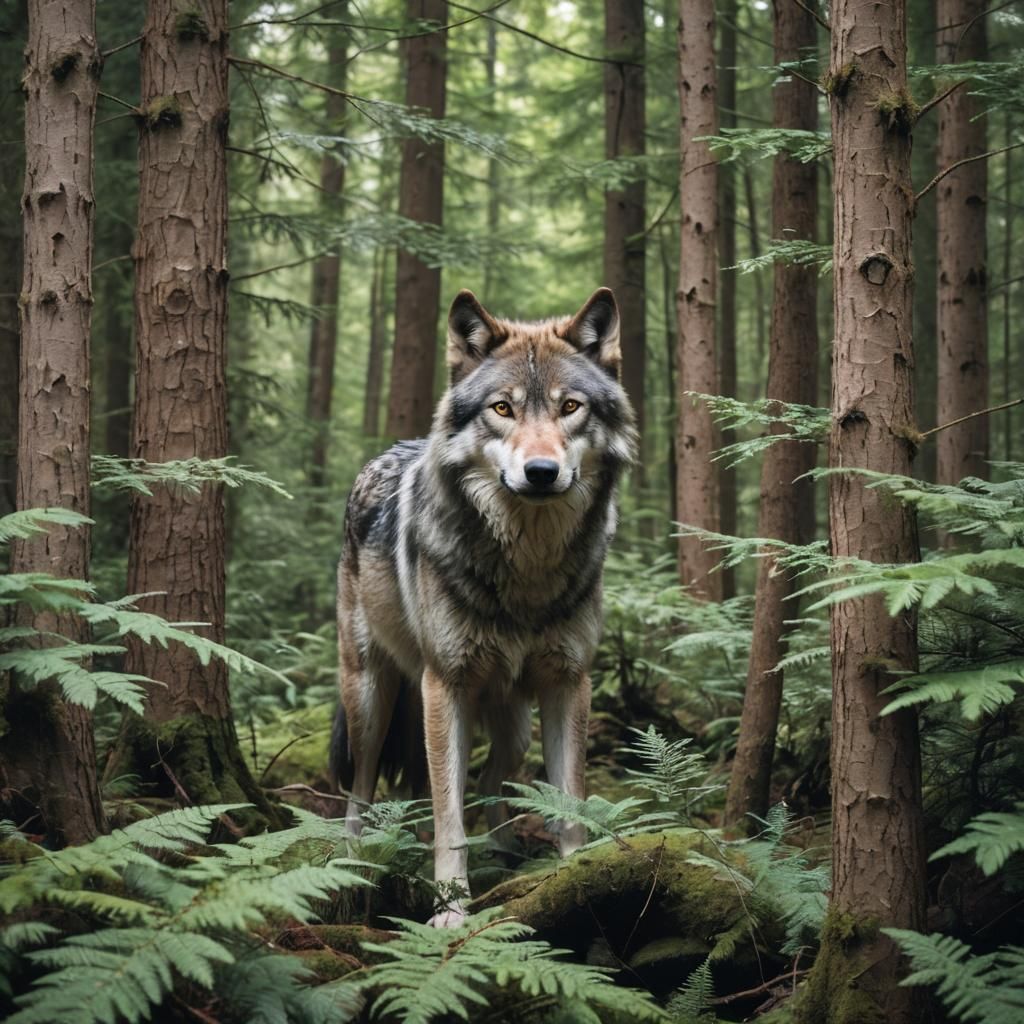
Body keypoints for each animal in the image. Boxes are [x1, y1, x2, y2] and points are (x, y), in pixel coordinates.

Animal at [329, 287, 637, 926]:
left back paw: (505, 847)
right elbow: (450, 817)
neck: (527, 571)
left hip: (511, 718)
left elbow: (567, 801)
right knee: (363, 784)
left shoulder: (569, 683)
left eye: (571, 407)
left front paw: (574, 877)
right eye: (502, 408)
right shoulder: (444, 686)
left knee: (495, 777)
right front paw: (450, 910)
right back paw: (352, 859)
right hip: (371, 696)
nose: (541, 472)